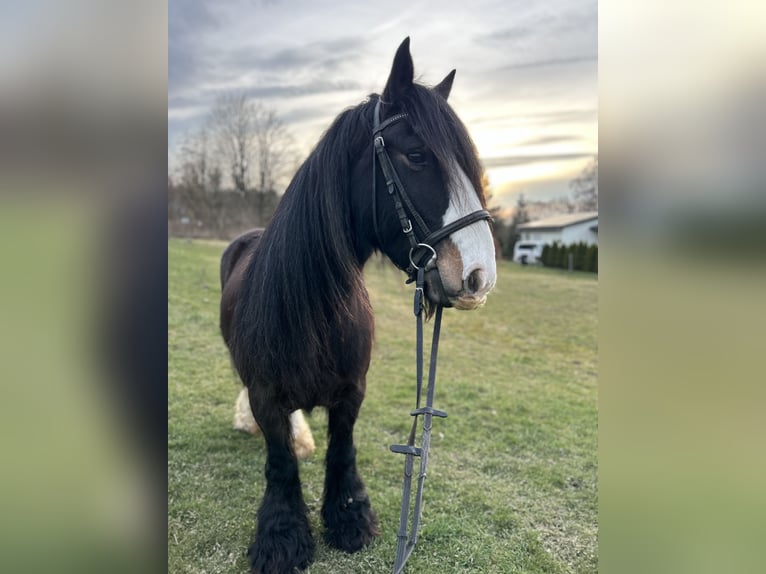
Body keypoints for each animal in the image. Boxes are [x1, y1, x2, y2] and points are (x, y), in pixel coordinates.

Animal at [219, 37, 497, 573]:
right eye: (416, 155)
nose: (479, 276)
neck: (313, 311)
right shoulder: (266, 394)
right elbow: (279, 463)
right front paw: (282, 538)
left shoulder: (351, 393)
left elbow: (342, 452)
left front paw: (349, 519)